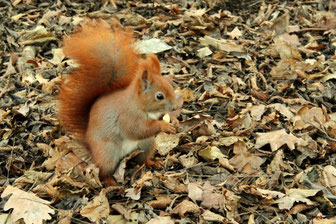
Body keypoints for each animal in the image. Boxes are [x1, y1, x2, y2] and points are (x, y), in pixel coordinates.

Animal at [57, 19, 178, 182]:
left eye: (171, 87)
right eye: (159, 96)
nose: (174, 107)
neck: (140, 106)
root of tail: (89, 142)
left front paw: (174, 121)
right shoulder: (128, 117)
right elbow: (139, 130)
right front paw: (164, 126)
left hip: (147, 144)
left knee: (142, 160)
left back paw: (153, 162)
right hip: (108, 152)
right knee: (103, 171)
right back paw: (110, 182)